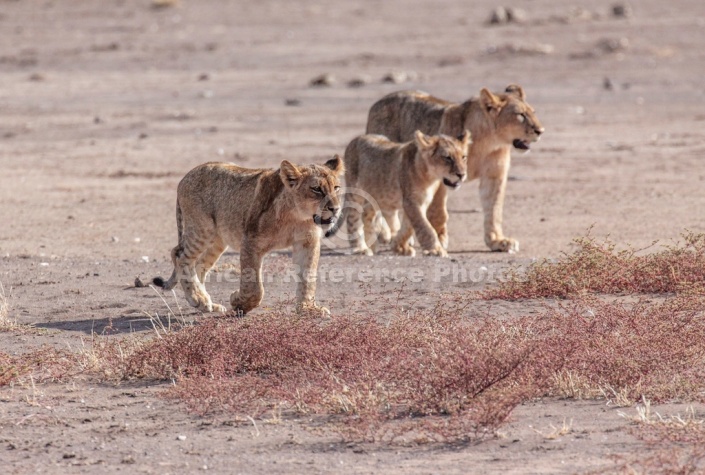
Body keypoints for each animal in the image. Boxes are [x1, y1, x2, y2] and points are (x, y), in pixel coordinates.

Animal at [340, 129, 468, 256]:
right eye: (447, 157)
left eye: (463, 157)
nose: (462, 175)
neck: (430, 178)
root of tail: (355, 139)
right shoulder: (411, 201)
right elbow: (424, 226)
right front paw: (435, 250)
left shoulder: (419, 201)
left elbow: (408, 227)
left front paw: (399, 247)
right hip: (356, 192)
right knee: (353, 219)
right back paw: (360, 248)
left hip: (379, 196)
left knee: (367, 211)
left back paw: (372, 243)